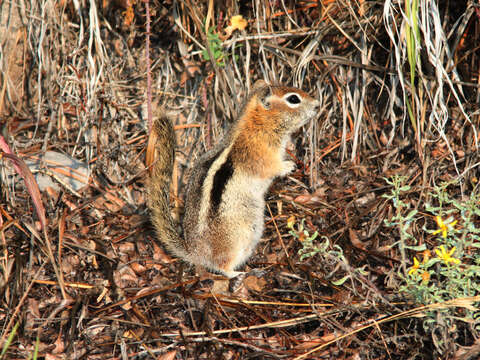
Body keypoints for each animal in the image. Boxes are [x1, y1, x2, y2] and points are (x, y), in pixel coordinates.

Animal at [146, 80, 318, 278]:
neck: (258, 124)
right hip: (236, 240)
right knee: (221, 266)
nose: (317, 104)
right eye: (293, 99)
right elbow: (272, 168)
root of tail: (194, 252)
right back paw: (240, 273)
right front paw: (288, 165)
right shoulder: (262, 157)